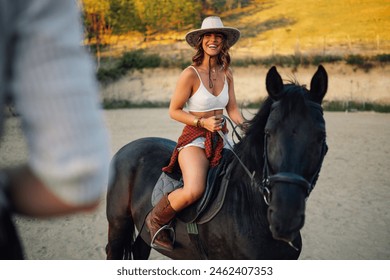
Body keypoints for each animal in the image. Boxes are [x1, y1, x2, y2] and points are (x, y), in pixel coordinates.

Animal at [105, 65, 328, 260]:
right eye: (268, 133)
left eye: (321, 137)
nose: (286, 219)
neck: (247, 204)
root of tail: (129, 147)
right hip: (118, 225)